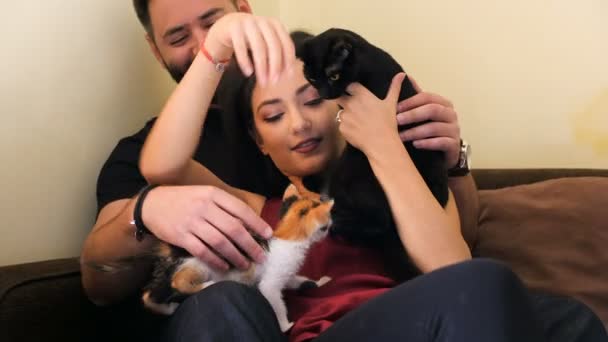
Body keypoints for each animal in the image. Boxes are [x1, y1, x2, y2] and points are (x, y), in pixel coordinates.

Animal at [141, 186, 334, 332]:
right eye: (326, 227)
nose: (330, 229)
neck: (288, 237)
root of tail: (173, 250)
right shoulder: (271, 281)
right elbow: (275, 300)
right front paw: (285, 325)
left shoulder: (286, 274)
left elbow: (299, 281)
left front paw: (320, 282)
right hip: (198, 264)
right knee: (178, 282)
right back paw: (206, 285)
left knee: (148, 295)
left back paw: (168, 308)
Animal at [296, 28, 448, 280]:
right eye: (312, 79)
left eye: (333, 76)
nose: (325, 94)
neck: (367, 63)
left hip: (356, 171)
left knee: (380, 221)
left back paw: (337, 223)